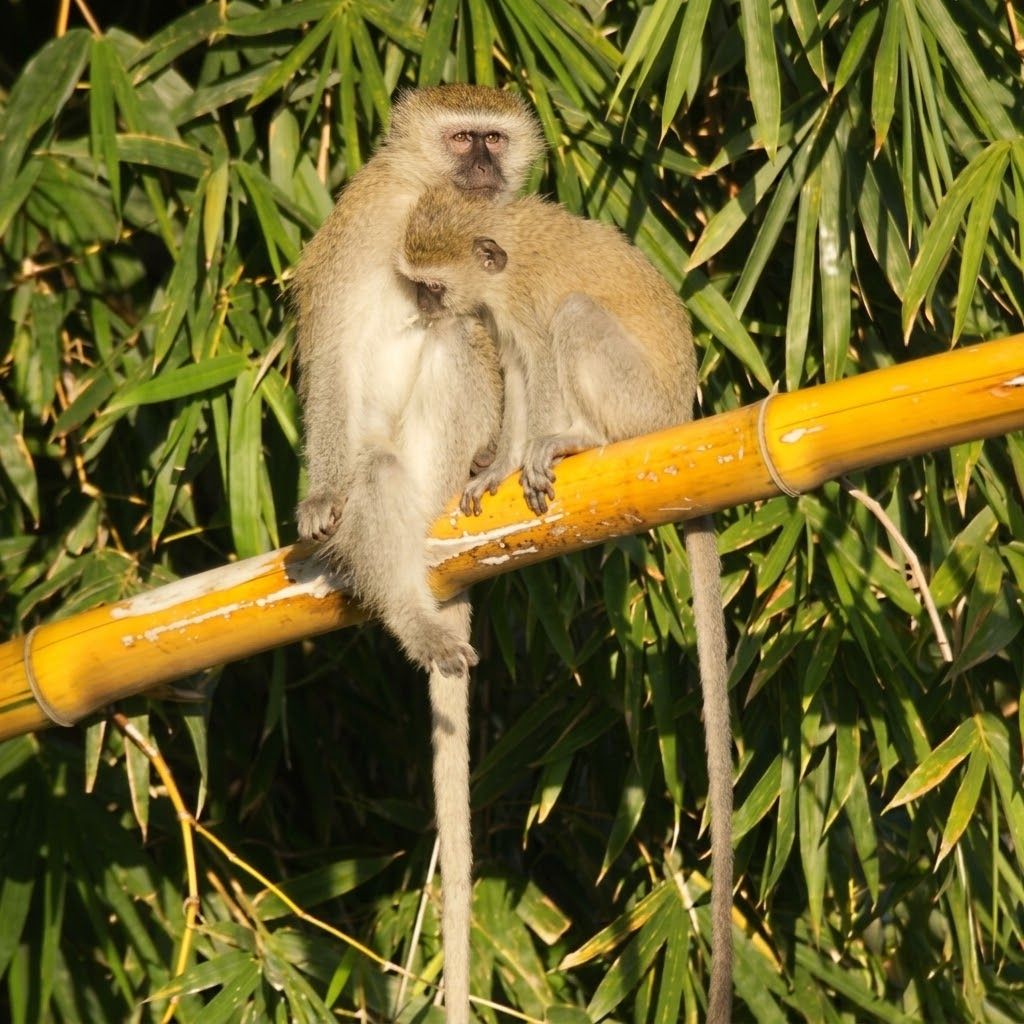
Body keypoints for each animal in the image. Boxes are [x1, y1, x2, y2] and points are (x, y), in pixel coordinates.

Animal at [291, 85, 544, 1024]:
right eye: (463, 138)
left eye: (494, 142)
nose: (483, 168)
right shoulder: (362, 219)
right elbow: (330, 345)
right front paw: (320, 496)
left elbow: (488, 331)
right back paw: (398, 594)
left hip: (434, 471)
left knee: (455, 352)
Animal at [399, 186, 734, 1024]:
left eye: (431, 287)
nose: (420, 313)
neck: (505, 250)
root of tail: (681, 423)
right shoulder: (500, 321)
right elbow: (519, 378)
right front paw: (494, 470)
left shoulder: (522, 302)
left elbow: (543, 362)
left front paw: (533, 448)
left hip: (640, 411)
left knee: (576, 323)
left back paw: (581, 439)